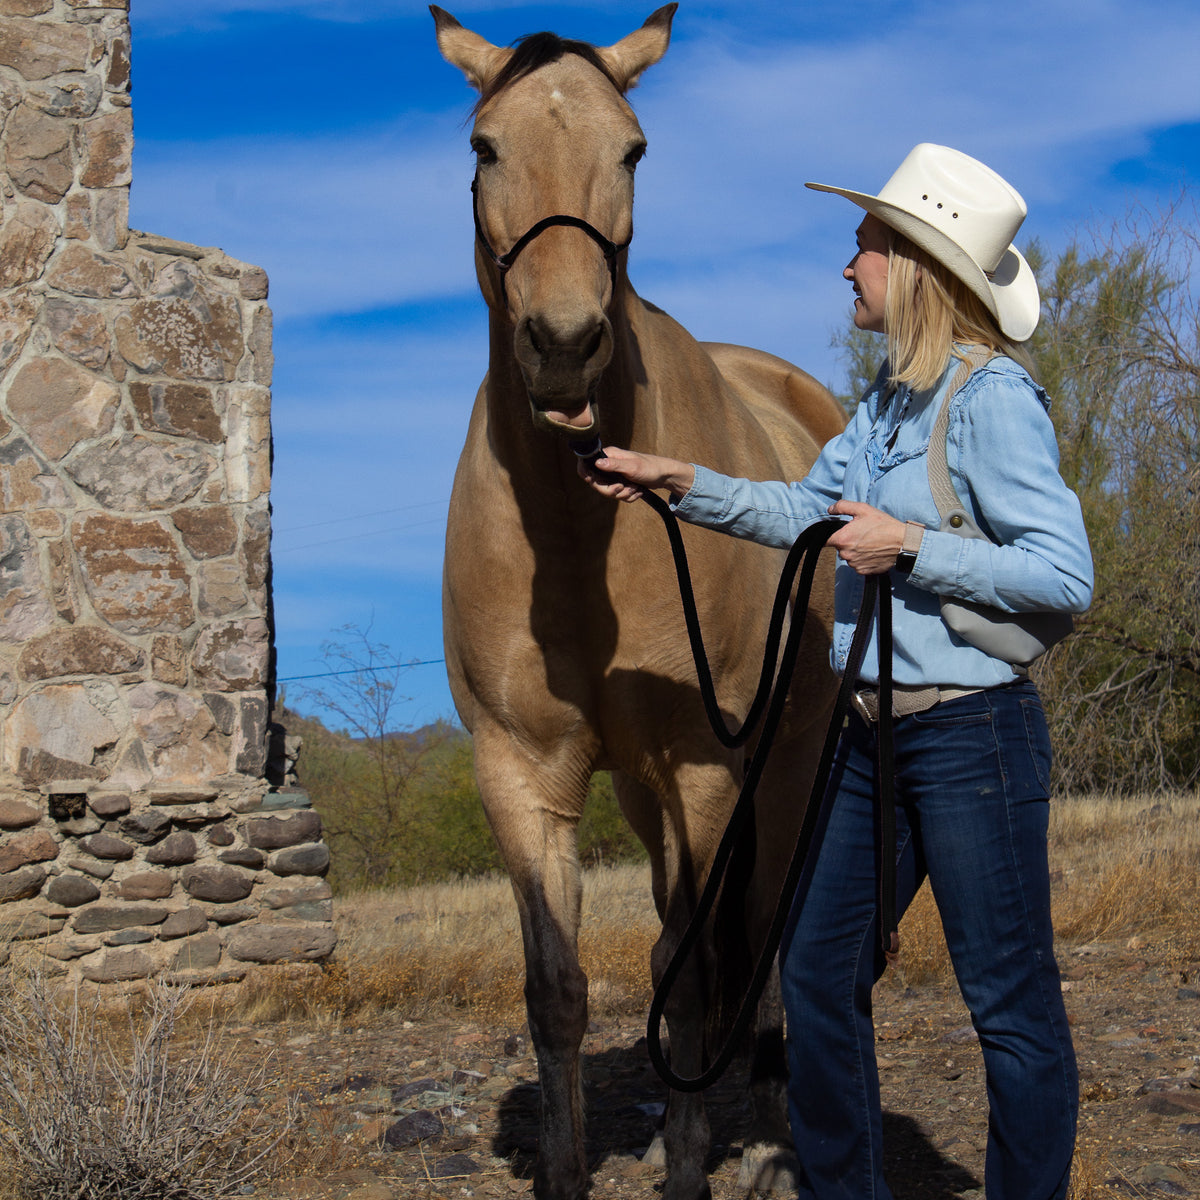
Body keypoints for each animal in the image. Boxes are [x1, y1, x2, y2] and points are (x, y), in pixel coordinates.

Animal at [433, 7, 845, 1199]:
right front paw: (575, 1171)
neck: (583, 541)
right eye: (484, 146)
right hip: (648, 797)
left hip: (780, 769)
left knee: (757, 937)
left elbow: (695, 965)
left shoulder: (708, 769)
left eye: (635, 150)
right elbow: (559, 991)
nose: (566, 346)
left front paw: (693, 1168)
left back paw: (762, 1132)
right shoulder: (523, 778)